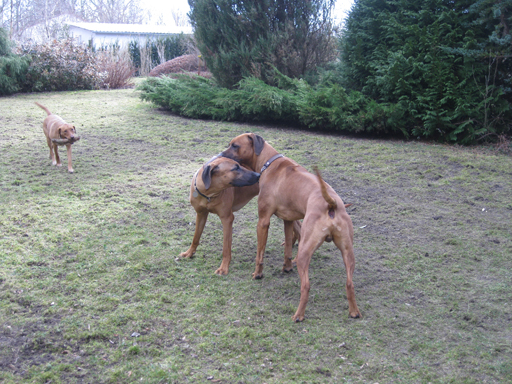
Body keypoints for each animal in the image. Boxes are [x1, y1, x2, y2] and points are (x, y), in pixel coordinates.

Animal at [220, 134, 360, 322]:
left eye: (234, 146)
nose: (221, 154)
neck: (269, 162)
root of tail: (331, 204)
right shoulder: (288, 220)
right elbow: (287, 246)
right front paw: (286, 267)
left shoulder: (263, 221)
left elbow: (260, 254)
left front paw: (258, 274)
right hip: (348, 252)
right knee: (350, 283)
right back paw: (354, 312)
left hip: (305, 251)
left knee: (306, 286)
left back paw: (299, 315)